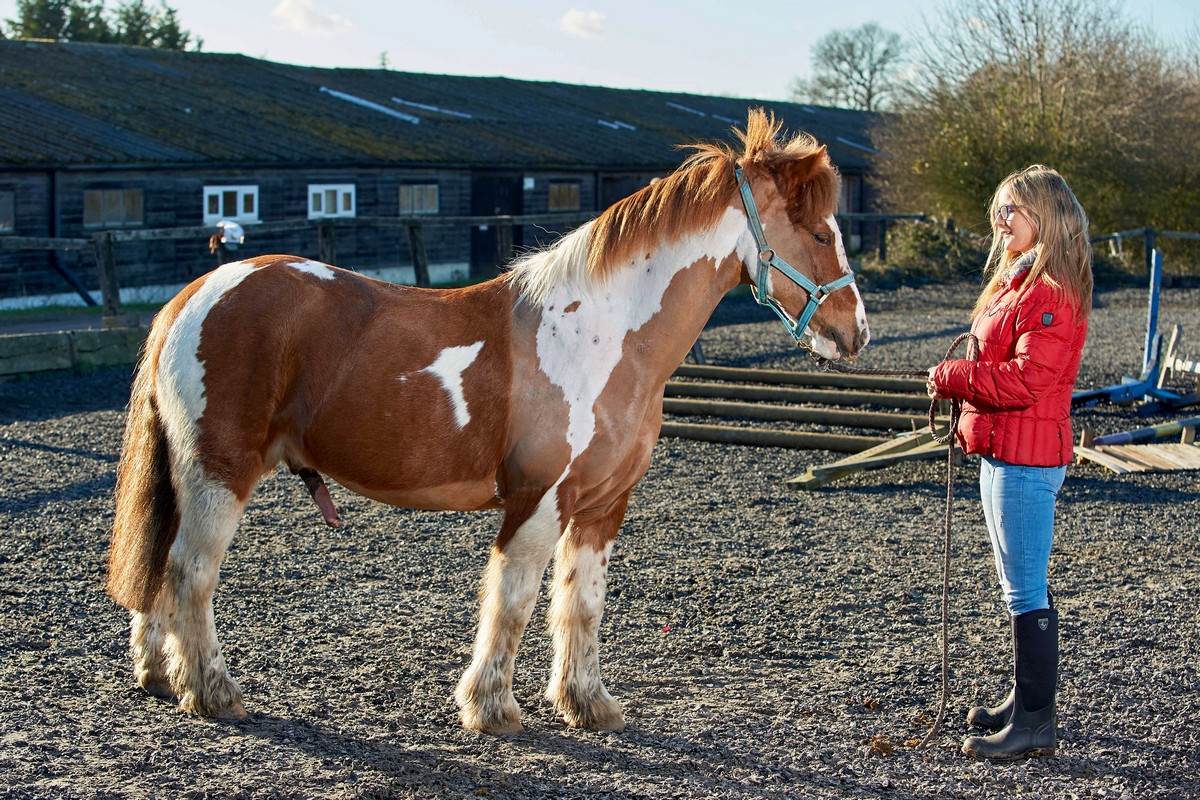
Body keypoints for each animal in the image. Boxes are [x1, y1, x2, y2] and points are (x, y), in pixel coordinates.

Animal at [105, 109, 873, 734]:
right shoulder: (539, 498)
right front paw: (492, 708)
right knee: (190, 572)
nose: (856, 330)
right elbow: (514, 598)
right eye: (818, 230)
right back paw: (213, 693)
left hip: (188, 473)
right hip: (219, 473)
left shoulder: (602, 506)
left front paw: (587, 704)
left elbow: (580, 603)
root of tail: (193, 296)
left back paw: (158, 675)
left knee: (159, 566)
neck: (602, 331)